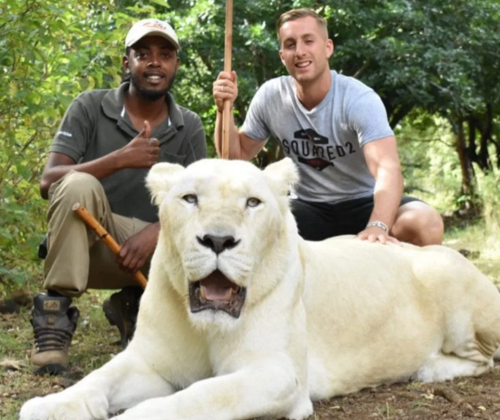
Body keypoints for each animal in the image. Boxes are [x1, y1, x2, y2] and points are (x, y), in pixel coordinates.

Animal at [21, 158, 500, 420]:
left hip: (448, 280)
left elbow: (198, 397)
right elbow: (97, 380)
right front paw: (47, 405)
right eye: (190, 198)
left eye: (252, 202)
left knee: (485, 359)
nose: (217, 240)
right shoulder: (150, 363)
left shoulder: (279, 375)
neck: (208, 325)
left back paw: (429, 369)